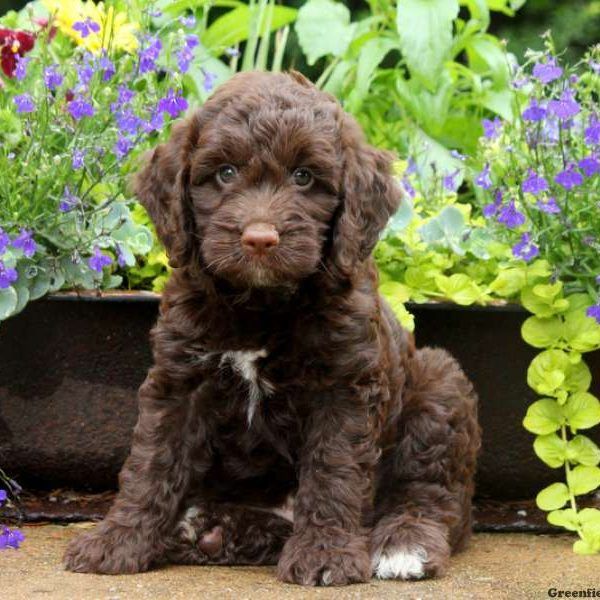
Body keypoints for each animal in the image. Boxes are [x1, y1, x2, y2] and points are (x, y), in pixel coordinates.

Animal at [63, 70, 480, 584]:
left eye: (304, 177)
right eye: (225, 173)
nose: (260, 239)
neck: (261, 306)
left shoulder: (344, 385)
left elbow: (333, 466)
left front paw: (325, 553)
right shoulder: (179, 378)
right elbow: (152, 460)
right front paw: (118, 539)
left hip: (440, 387)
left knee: (433, 495)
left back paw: (404, 544)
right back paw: (207, 527)